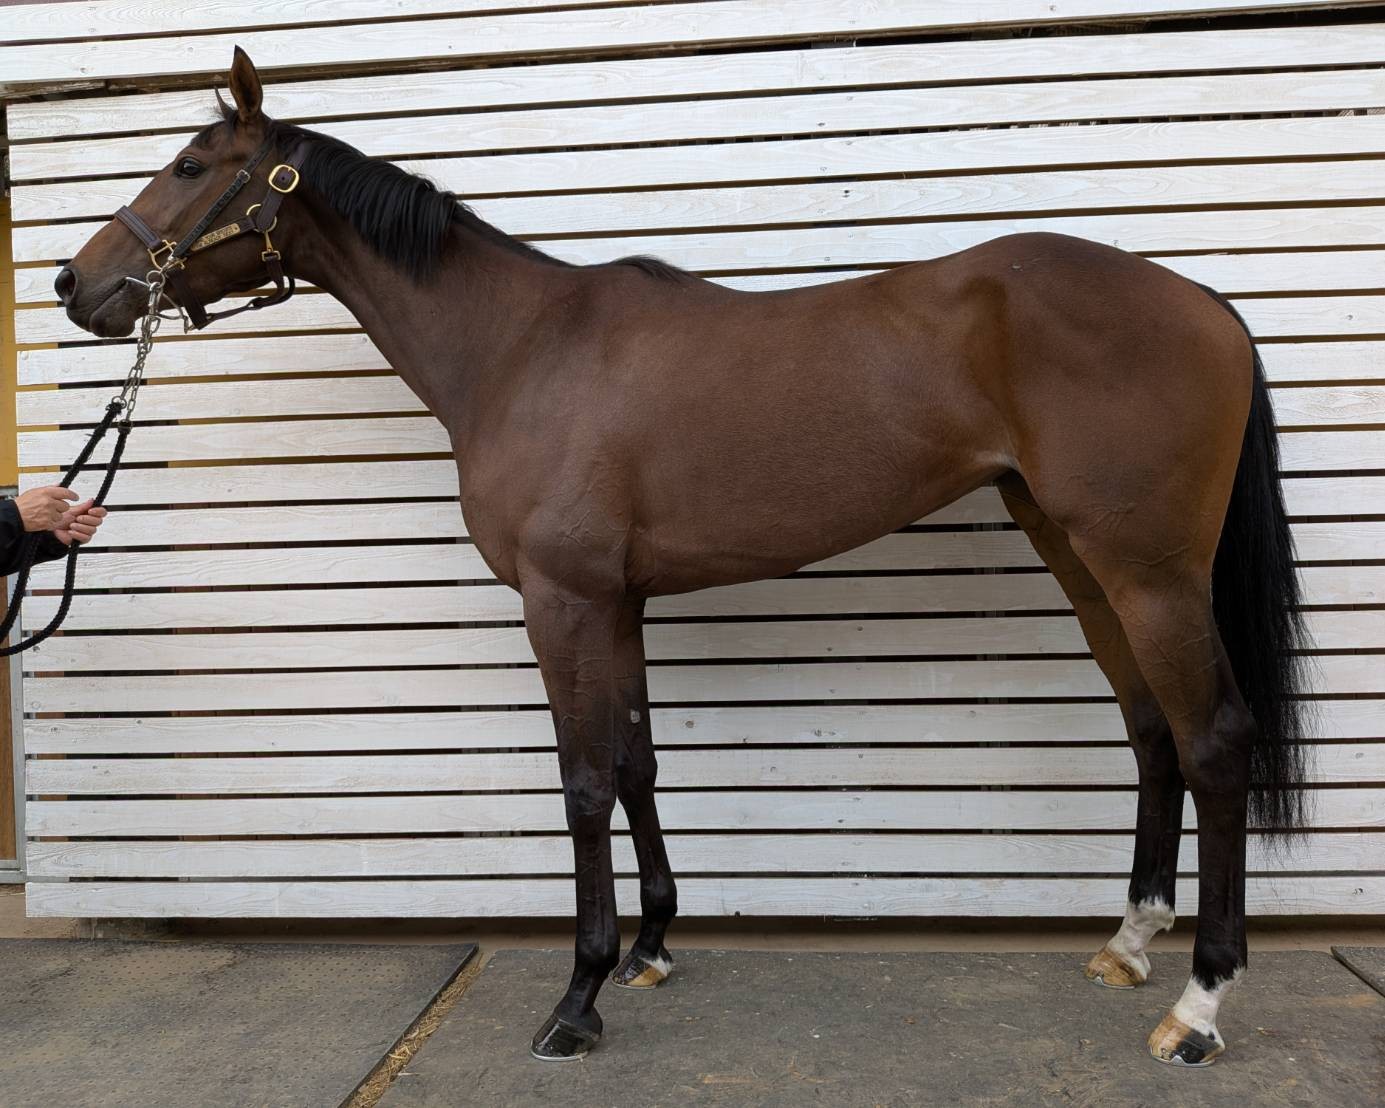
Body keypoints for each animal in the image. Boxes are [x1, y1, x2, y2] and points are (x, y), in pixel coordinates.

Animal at [58, 48, 1309, 1067]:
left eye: (188, 162)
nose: (78, 287)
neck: (520, 348)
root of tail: (1200, 300)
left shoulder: (561, 604)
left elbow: (581, 781)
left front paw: (576, 999)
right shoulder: (617, 603)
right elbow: (637, 763)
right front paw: (651, 946)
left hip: (1147, 571)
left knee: (1211, 741)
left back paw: (1197, 1008)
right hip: (1080, 557)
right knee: (1149, 732)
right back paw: (1128, 943)